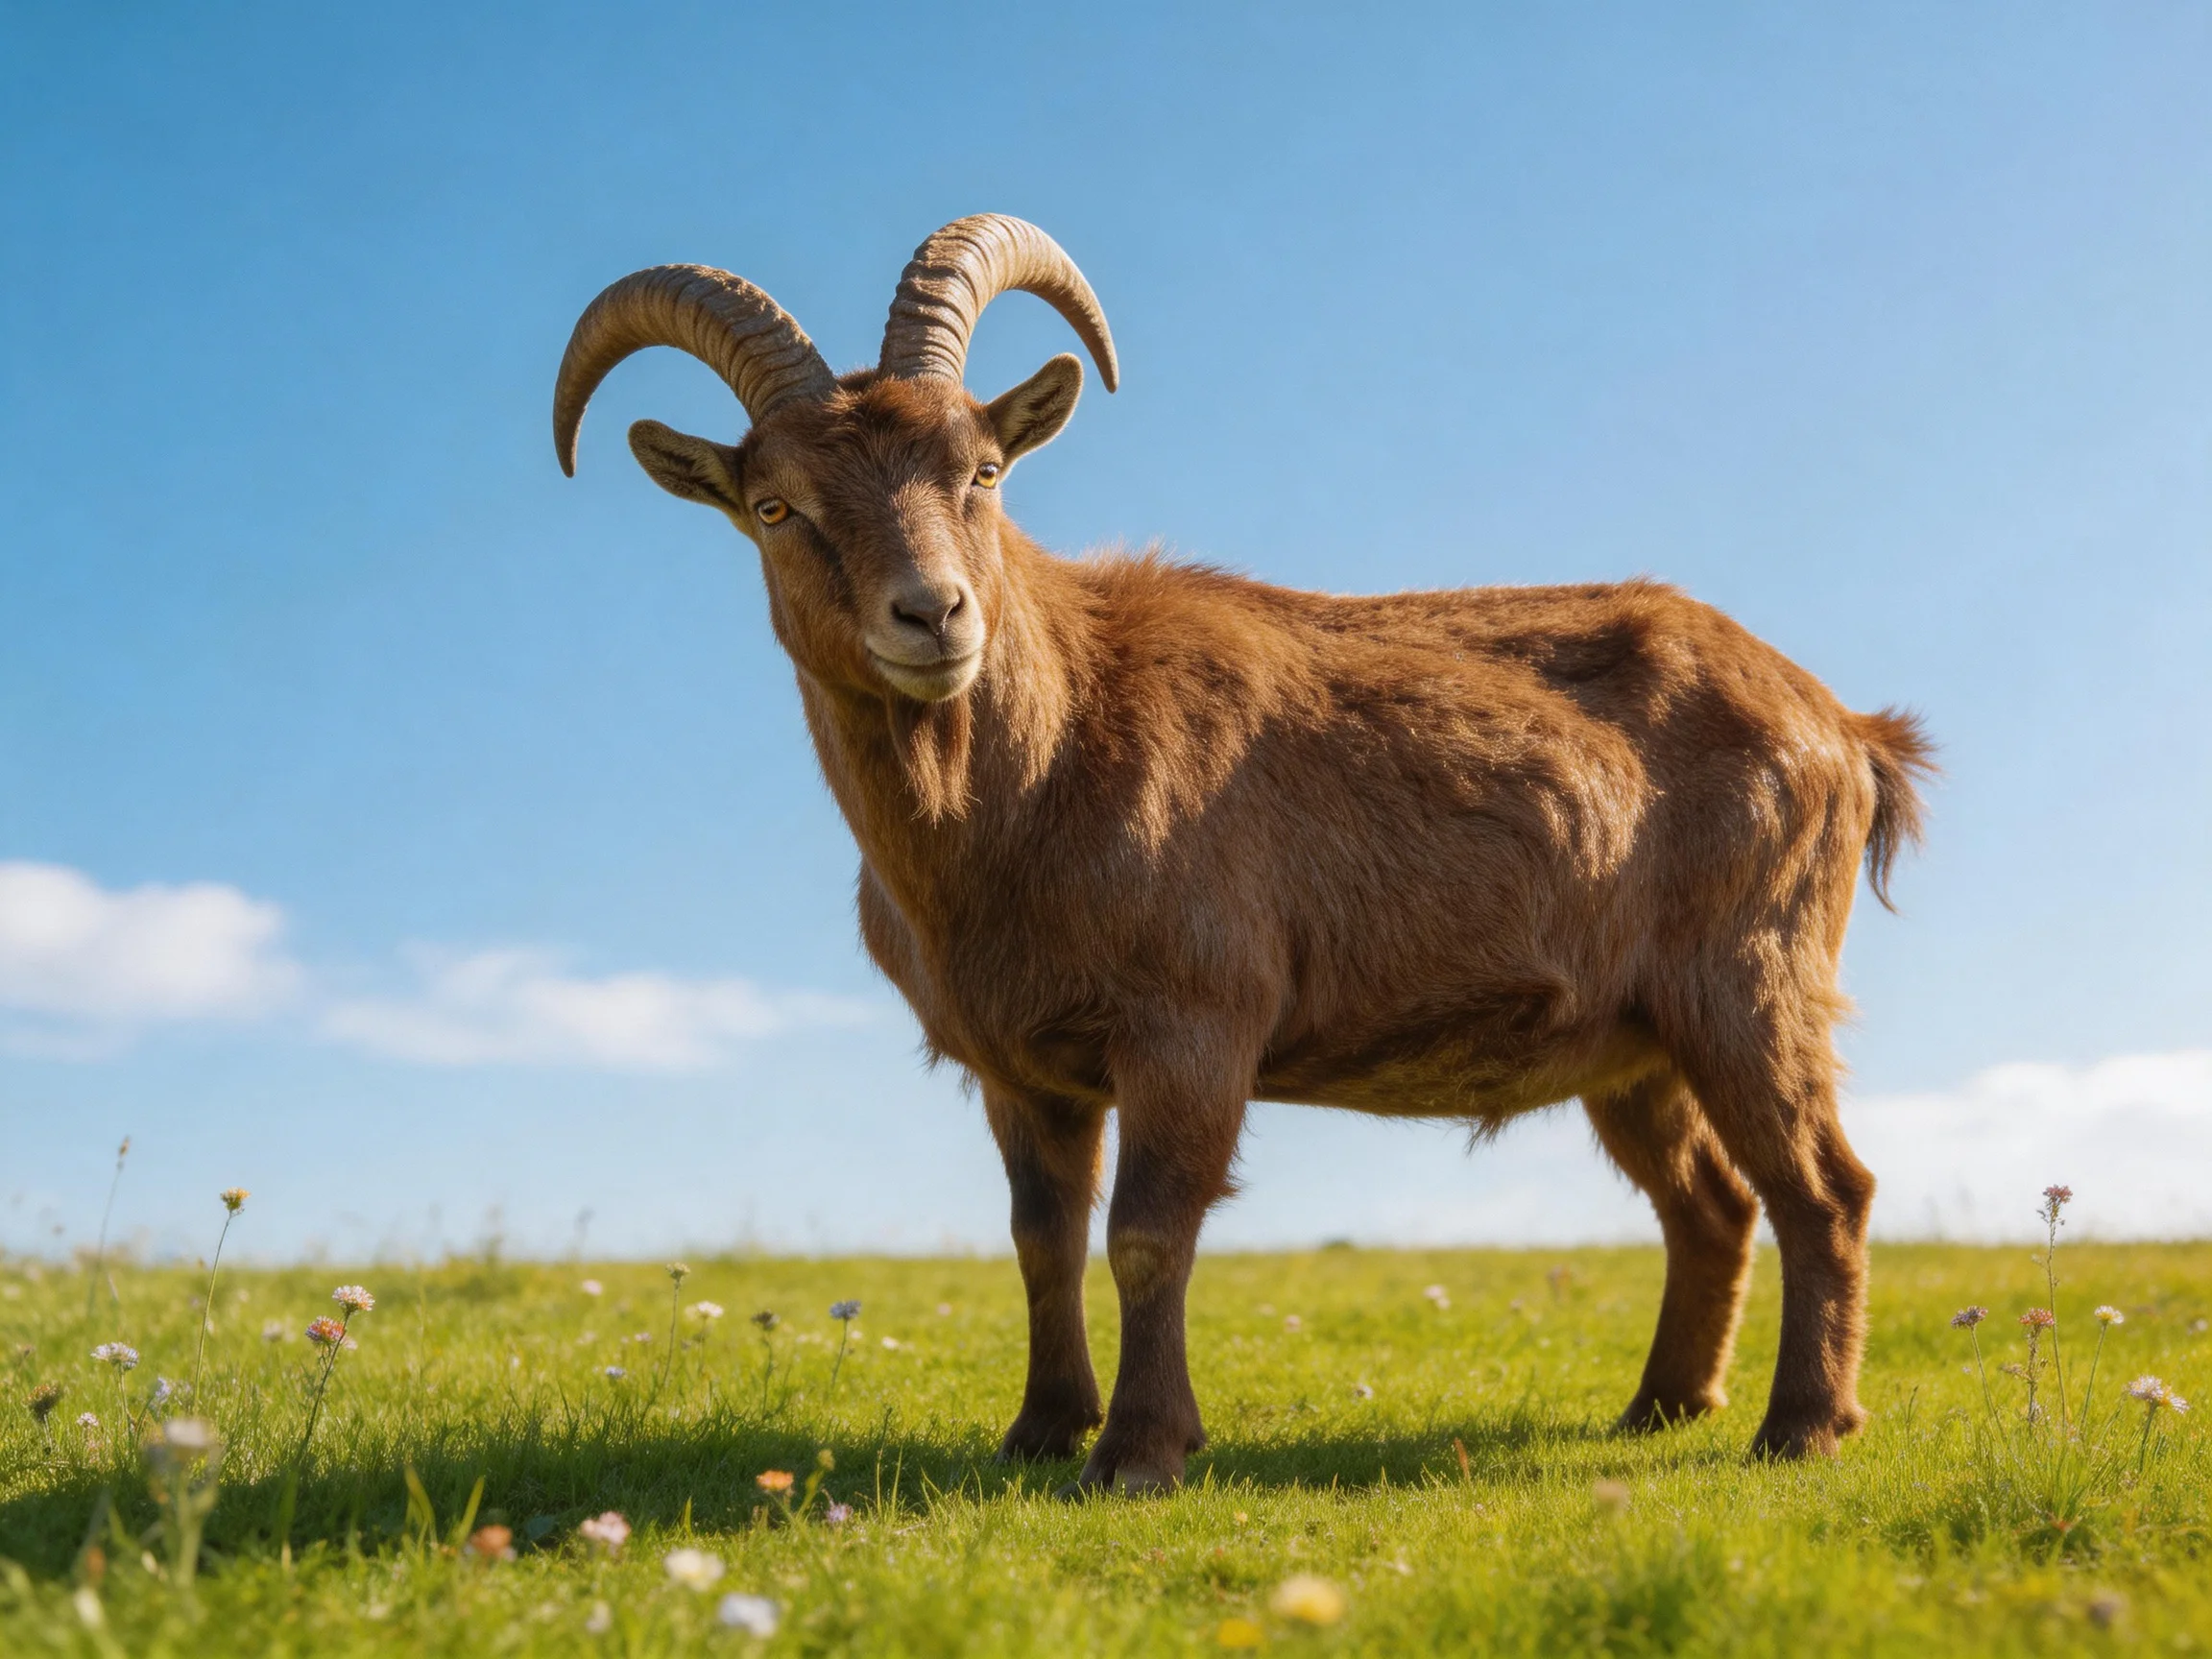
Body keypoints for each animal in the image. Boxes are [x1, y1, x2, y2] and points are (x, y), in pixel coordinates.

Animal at [555, 214, 1935, 1489]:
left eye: (984, 470)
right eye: (774, 504)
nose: (934, 615)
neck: (1050, 762)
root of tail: (1847, 731)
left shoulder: (1193, 1021)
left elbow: (1148, 1234)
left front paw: (1142, 1452)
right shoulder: (1022, 1066)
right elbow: (1041, 1238)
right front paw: (1040, 1430)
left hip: (1749, 979)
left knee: (1825, 1188)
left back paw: (1802, 1426)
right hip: (1637, 1043)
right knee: (1712, 1204)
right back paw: (1660, 1407)